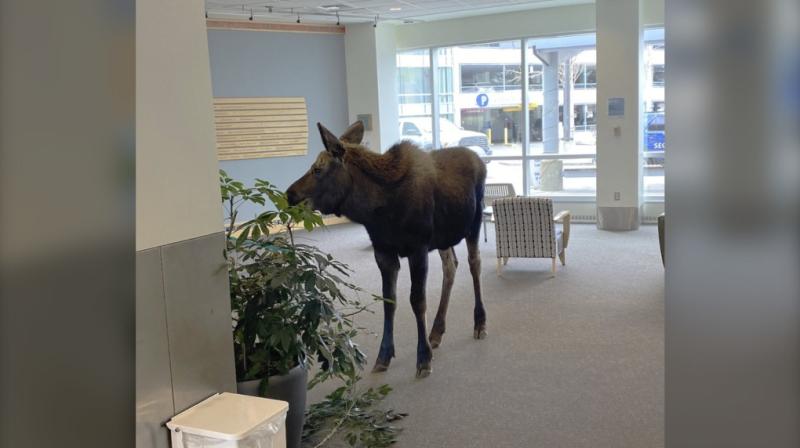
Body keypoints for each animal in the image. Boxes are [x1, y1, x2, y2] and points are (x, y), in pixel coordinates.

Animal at [288, 121, 488, 376]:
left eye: (317, 169)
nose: (290, 194)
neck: (377, 211)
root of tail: (479, 159)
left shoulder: (418, 248)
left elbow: (417, 300)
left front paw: (423, 358)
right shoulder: (383, 251)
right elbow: (388, 301)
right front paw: (384, 355)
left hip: (474, 222)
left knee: (475, 263)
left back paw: (479, 322)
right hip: (444, 238)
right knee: (451, 266)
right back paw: (436, 331)